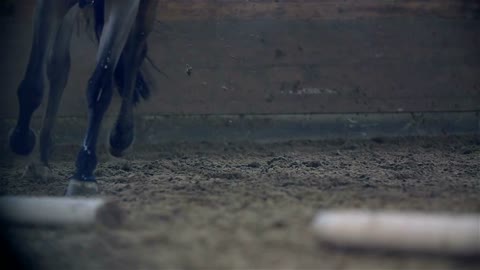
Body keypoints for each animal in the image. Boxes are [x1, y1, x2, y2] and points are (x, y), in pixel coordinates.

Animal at [8, 0, 159, 195]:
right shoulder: (49, 5)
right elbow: (33, 84)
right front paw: (22, 140)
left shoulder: (124, 6)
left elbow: (99, 89)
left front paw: (83, 175)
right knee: (58, 65)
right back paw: (42, 161)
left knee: (135, 50)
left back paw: (121, 136)